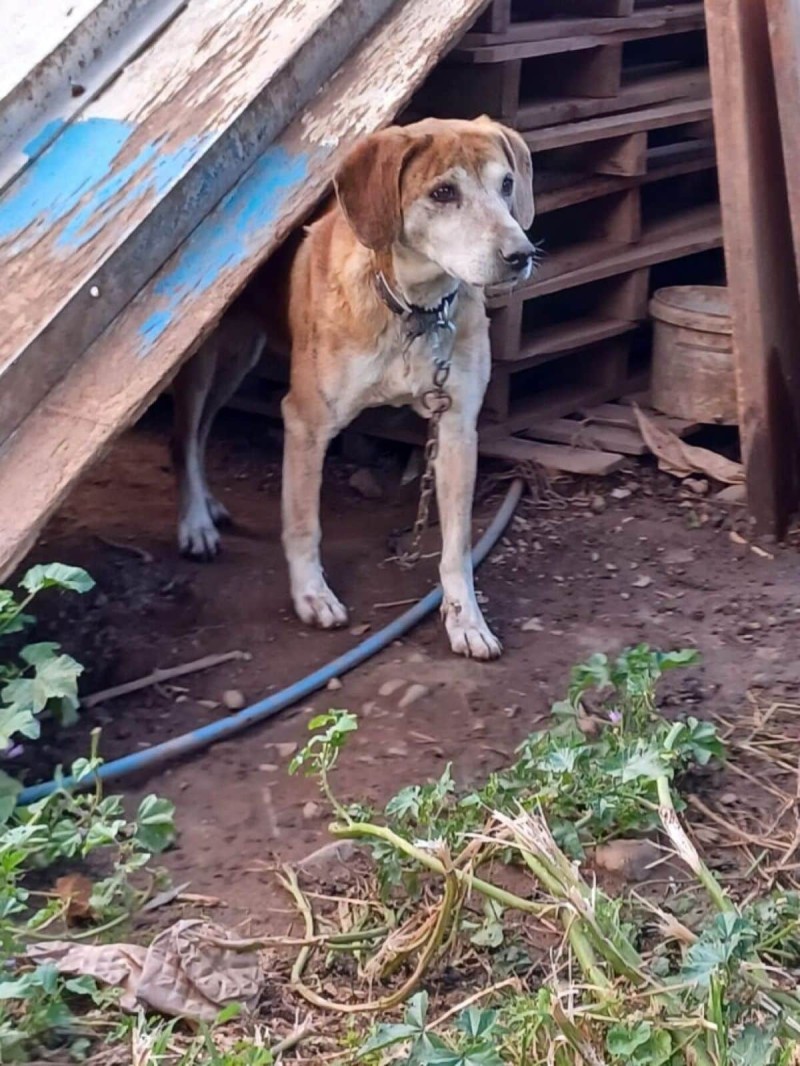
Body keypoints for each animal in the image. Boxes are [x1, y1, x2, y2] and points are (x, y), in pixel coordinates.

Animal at [171, 118, 535, 665]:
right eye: (443, 193)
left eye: (507, 184)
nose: (521, 255)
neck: (411, 309)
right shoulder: (305, 420)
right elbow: (303, 521)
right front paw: (312, 595)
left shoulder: (456, 428)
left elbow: (456, 547)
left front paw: (466, 621)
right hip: (203, 361)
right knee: (187, 435)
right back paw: (196, 521)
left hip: (240, 356)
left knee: (205, 427)